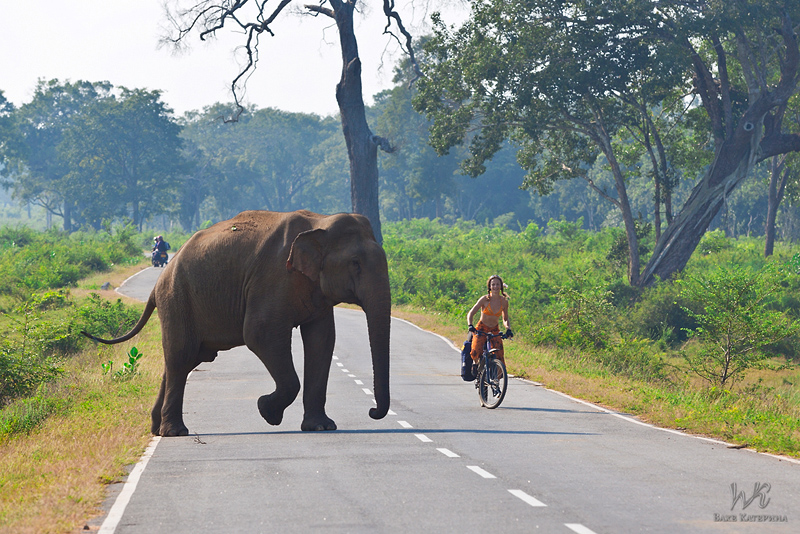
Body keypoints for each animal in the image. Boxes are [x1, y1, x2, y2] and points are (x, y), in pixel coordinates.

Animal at [82, 211, 390, 438]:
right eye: (355, 263)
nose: (372, 412)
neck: (320, 222)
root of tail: (158, 283)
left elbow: (322, 340)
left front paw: (321, 427)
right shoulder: (273, 278)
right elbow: (260, 334)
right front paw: (267, 411)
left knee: (182, 361)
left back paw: (158, 429)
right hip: (177, 299)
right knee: (181, 356)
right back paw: (175, 433)